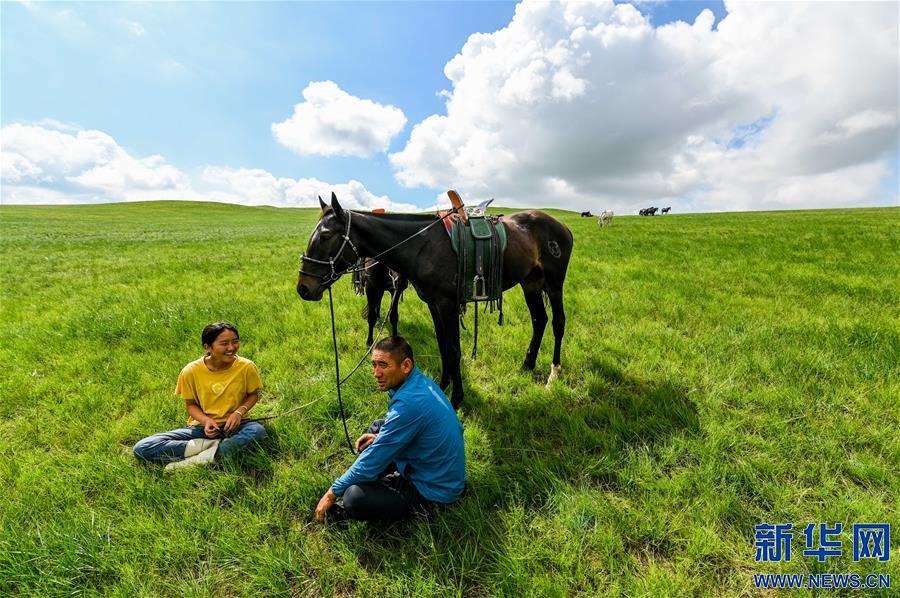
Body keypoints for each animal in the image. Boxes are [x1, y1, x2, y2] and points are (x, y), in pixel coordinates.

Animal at [298, 195, 572, 410]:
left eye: (325, 236)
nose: (303, 287)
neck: (422, 245)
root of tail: (562, 227)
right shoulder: (433, 304)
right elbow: (442, 346)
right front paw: (443, 385)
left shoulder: (447, 304)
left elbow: (453, 350)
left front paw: (456, 398)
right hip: (531, 282)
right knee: (539, 320)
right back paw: (527, 365)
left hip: (554, 283)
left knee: (558, 322)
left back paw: (554, 373)